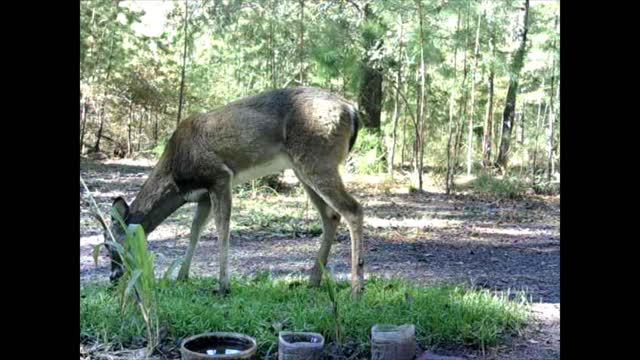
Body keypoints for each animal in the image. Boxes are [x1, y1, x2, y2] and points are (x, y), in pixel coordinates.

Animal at [105, 86, 364, 296]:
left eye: (109, 244)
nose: (113, 277)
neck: (177, 179)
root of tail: (351, 111)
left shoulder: (219, 176)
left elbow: (223, 228)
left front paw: (222, 285)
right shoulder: (203, 195)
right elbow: (195, 231)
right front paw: (181, 277)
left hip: (318, 159)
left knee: (353, 209)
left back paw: (355, 289)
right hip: (303, 168)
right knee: (331, 215)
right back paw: (313, 281)